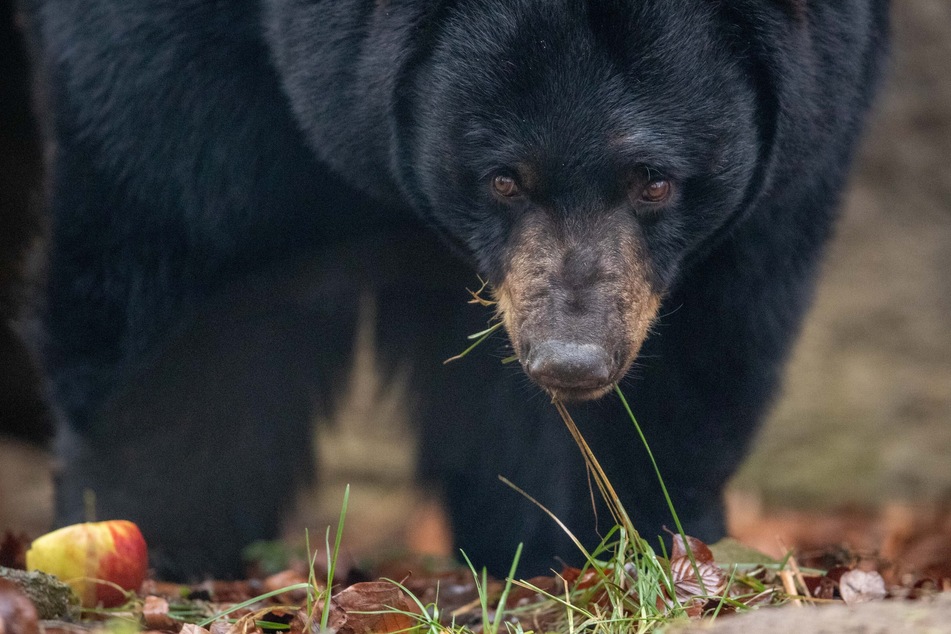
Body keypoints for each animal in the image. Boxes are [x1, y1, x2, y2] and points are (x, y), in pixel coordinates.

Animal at [24, 0, 892, 576]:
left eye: (653, 181)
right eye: (504, 178)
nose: (571, 359)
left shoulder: (813, 111)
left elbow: (713, 330)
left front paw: (611, 541)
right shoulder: (175, 58)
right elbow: (183, 243)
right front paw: (164, 540)